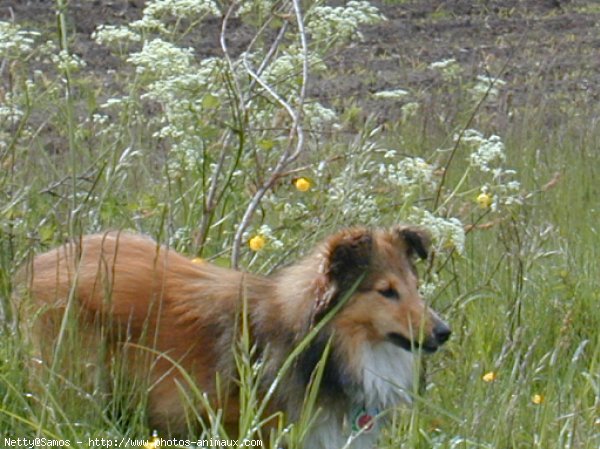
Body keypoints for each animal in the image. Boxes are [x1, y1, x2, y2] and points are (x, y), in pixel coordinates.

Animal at [16, 226, 450, 446]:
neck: (314, 344)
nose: (444, 332)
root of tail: (38, 263)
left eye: (416, 287)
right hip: (77, 385)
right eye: (386, 291)